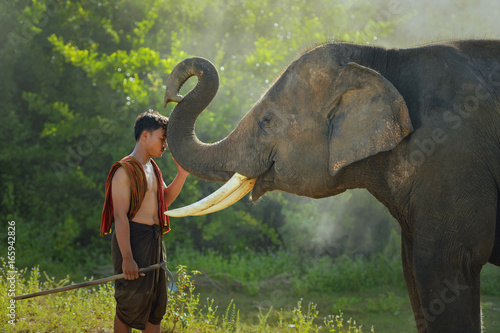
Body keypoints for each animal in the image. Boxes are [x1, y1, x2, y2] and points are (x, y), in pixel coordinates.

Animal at [163, 39, 500, 332]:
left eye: (268, 121)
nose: (171, 98)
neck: (383, 59)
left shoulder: (454, 159)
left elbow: (443, 264)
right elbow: (412, 271)